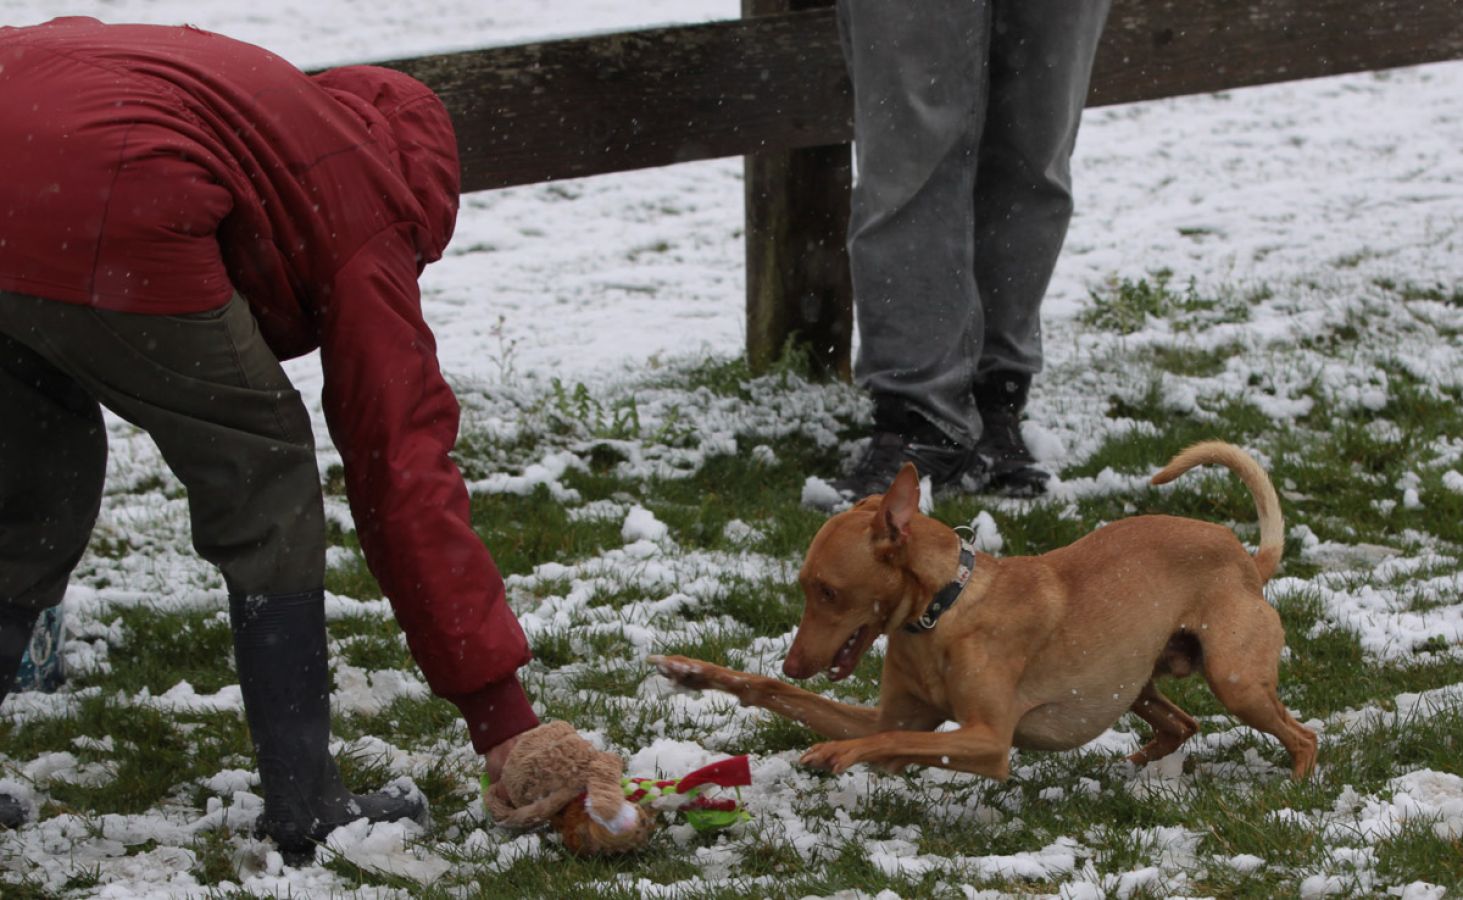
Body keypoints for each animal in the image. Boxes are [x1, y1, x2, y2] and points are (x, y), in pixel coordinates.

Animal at [651, 441, 1317, 781]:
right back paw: (1138, 762)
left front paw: (836, 755)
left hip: (1235, 680)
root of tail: (1247, 559)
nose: (793, 663)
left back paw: (1292, 789)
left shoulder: (989, 741)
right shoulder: (892, 713)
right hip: (1138, 683)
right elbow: (792, 698)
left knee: (1303, 735)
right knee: (1182, 723)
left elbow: (892, 741)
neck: (941, 614)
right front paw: (694, 673)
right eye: (805, 587)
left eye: (829, 592)